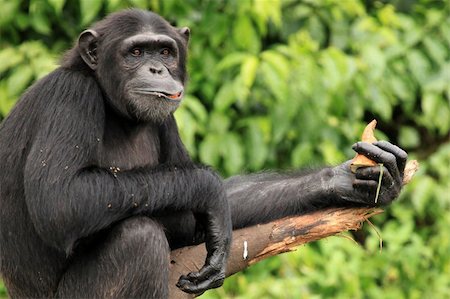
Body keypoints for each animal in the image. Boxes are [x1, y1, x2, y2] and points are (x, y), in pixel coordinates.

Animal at [0, 8, 408, 298]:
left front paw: (354, 180)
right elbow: (61, 201)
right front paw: (207, 187)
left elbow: (210, 212)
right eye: (136, 52)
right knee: (137, 239)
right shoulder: (70, 97)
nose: (157, 68)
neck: (115, 107)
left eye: (165, 51)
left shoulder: (167, 120)